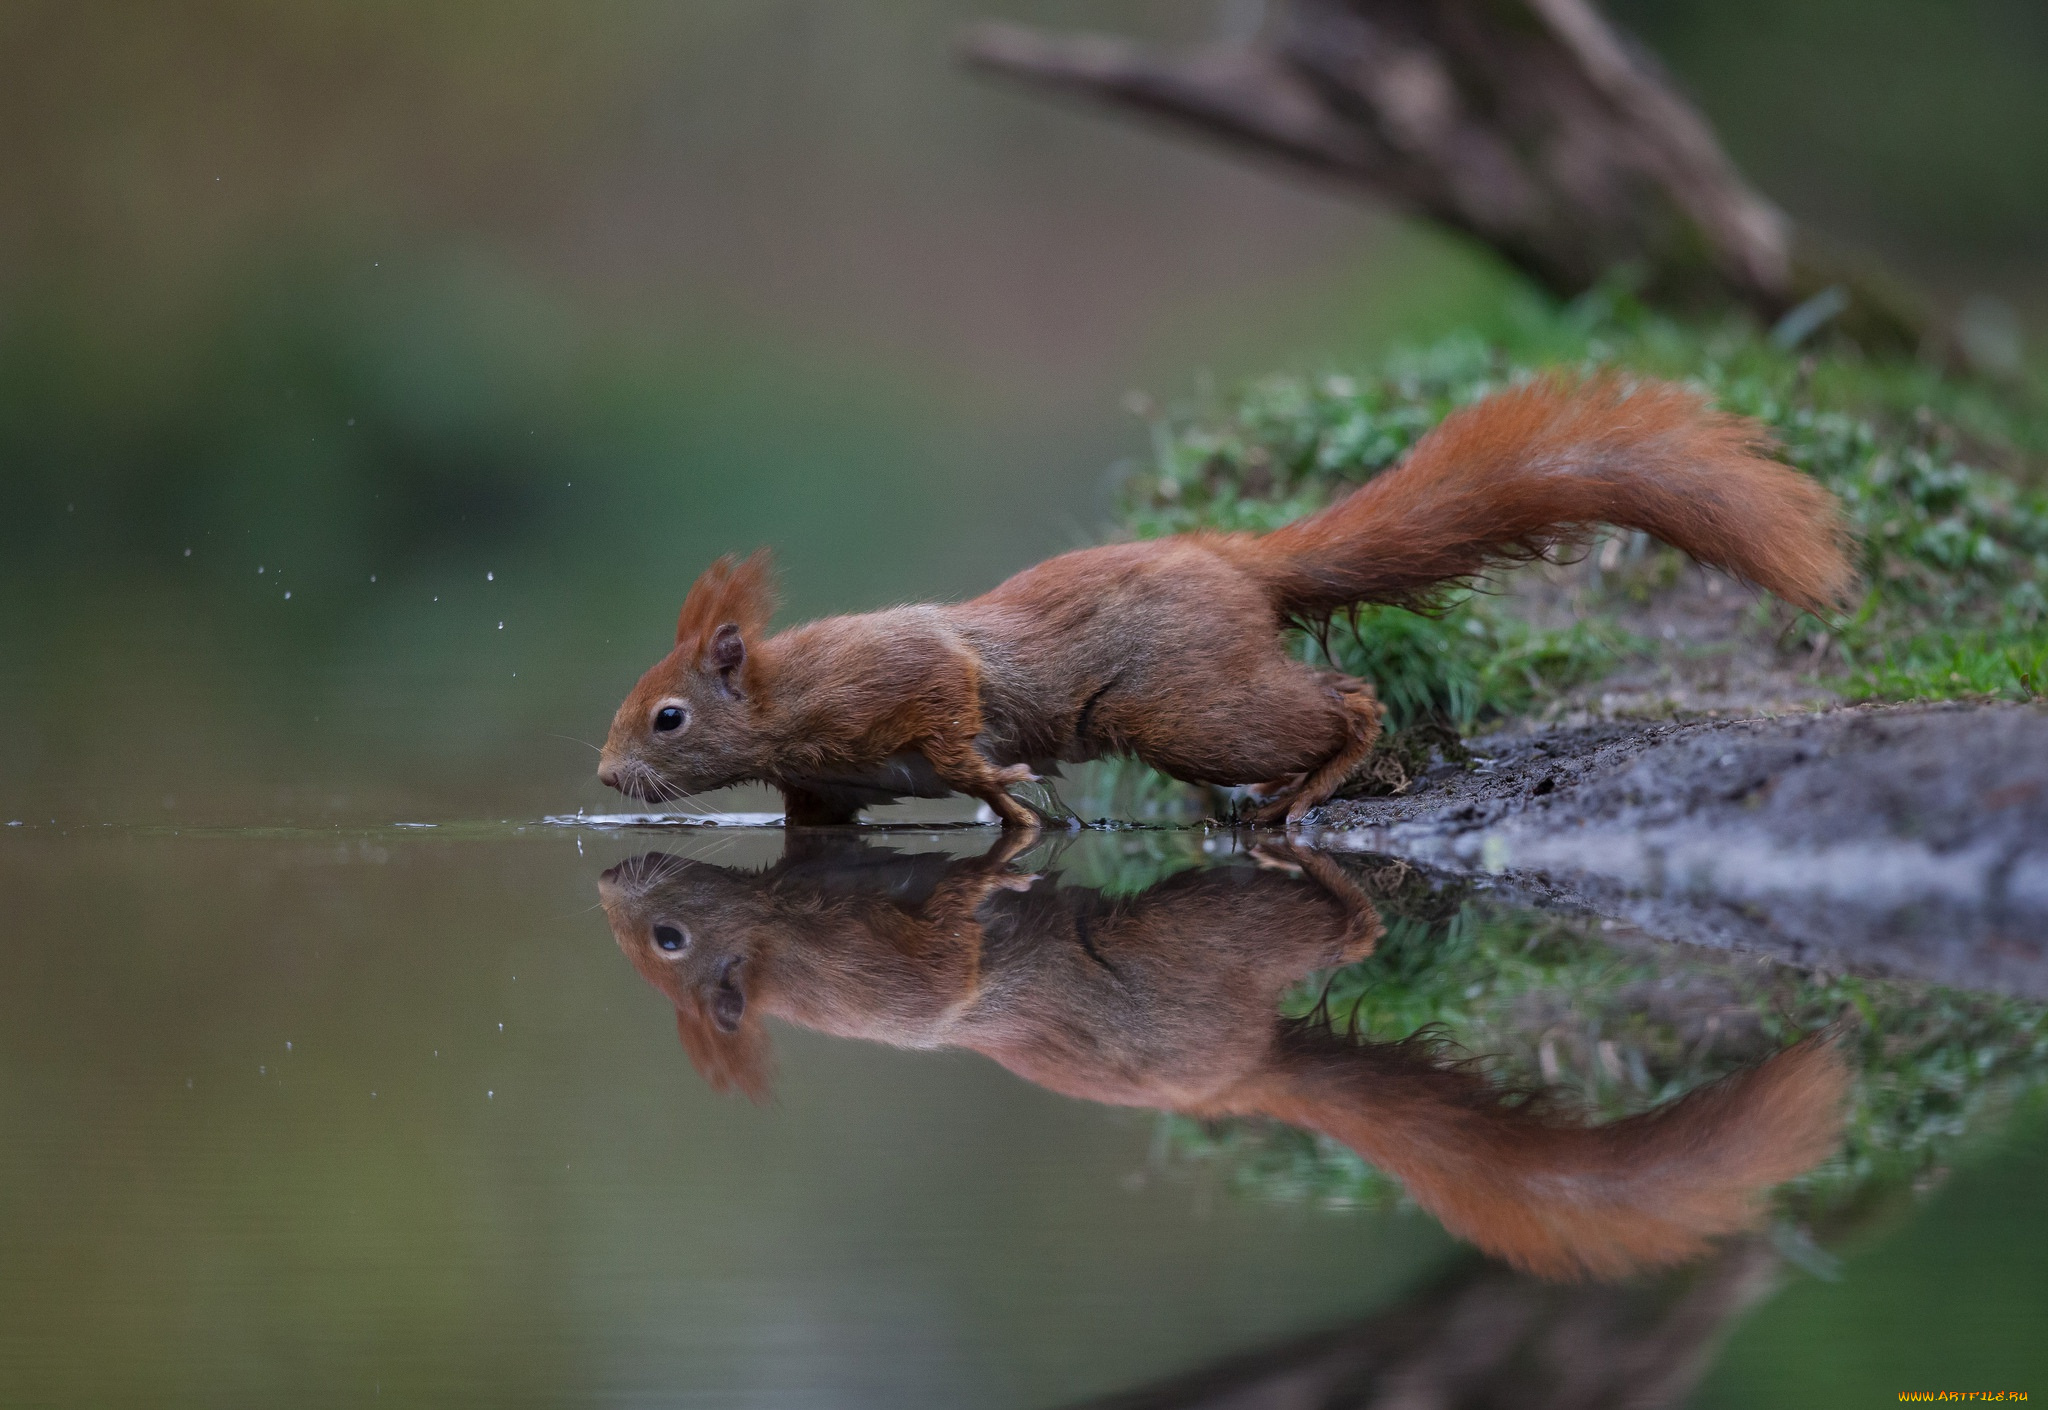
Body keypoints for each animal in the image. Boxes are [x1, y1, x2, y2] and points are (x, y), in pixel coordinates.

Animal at [598, 375, 1859, 827]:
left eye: (668, 716)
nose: (606, 779)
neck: (785, 699)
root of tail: (1234, 561)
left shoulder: (897, 680)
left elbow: (953, 720)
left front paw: (1005, 793)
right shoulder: (824, 782)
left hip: (1182, 707)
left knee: (1344, 700)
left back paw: (1315, 786)